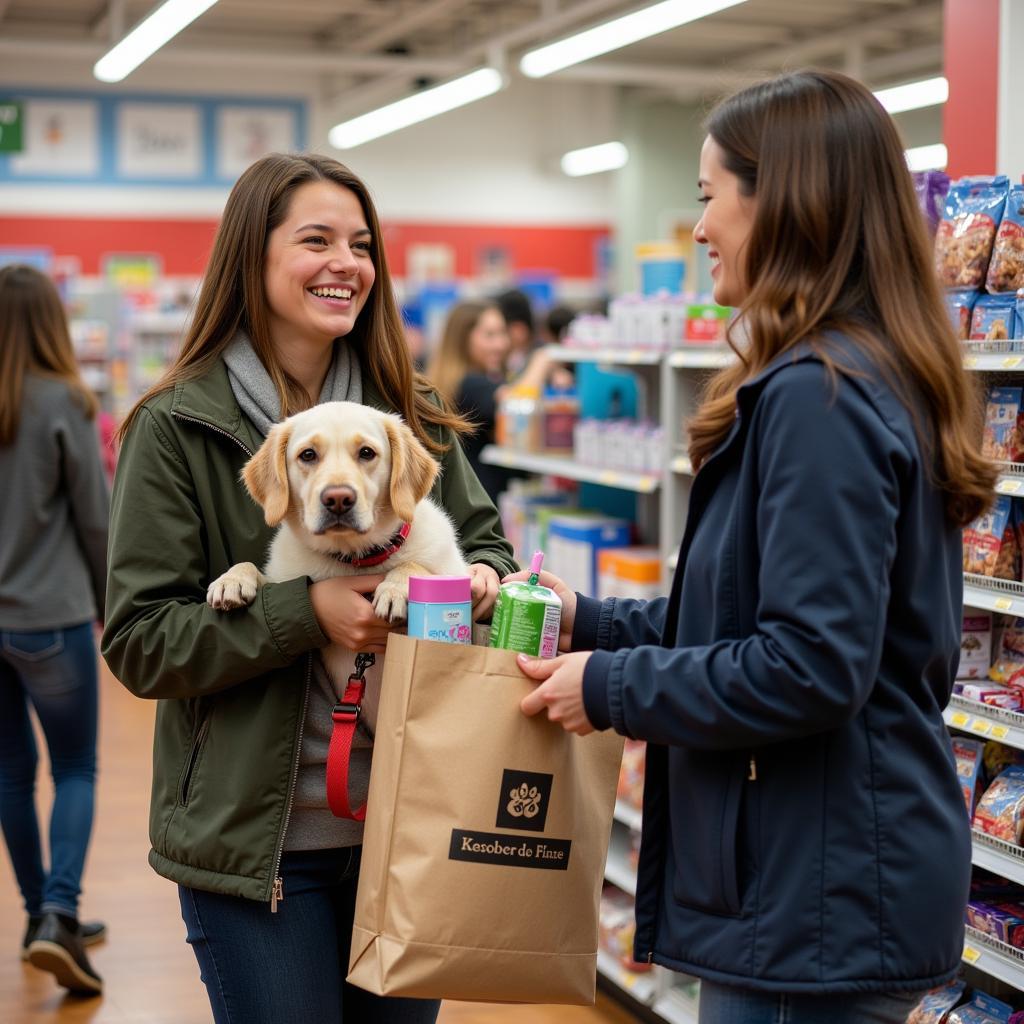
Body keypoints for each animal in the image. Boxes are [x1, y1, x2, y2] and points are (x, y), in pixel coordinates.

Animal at [206, 397, 468, 630]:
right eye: (308, 454)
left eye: (366, 452)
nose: (338, 500)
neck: (353, 556)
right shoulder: (281, 580)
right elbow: (250, 567)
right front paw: (232, 579)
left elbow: (415, 566)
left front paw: (395, 589)